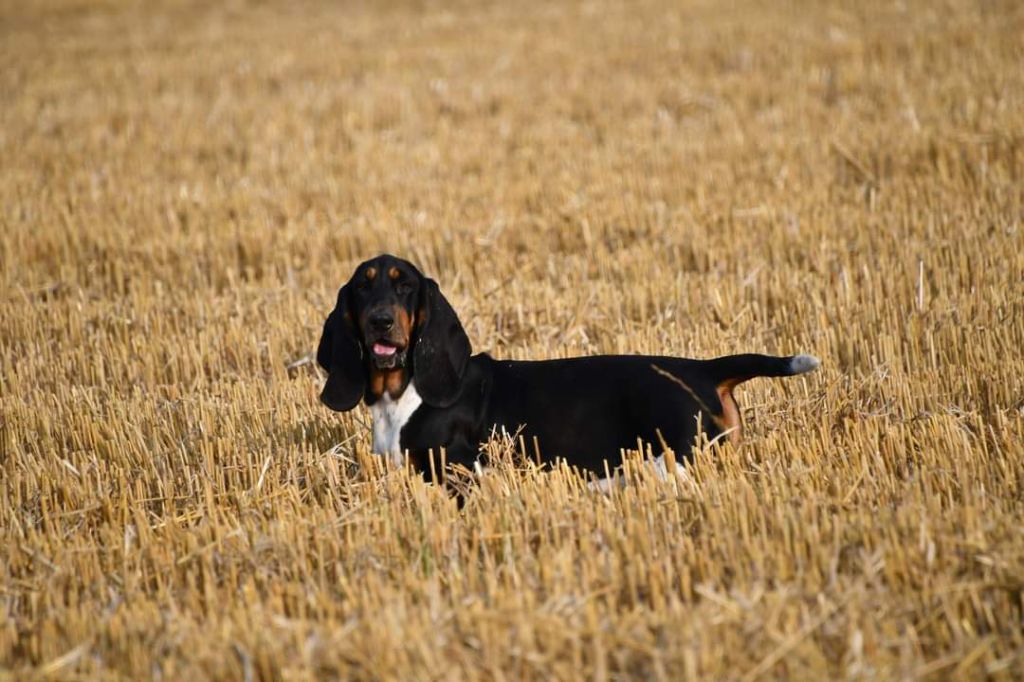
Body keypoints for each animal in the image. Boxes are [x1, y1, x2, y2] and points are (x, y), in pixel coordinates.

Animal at [315, 251, 819, 481]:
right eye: (363, 286)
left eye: (405, 287)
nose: (381, 322)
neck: (401, 393)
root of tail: (704, 369)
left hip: (673, 454)